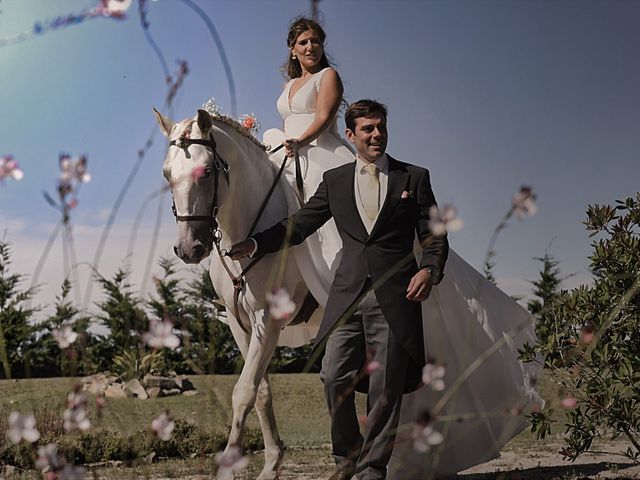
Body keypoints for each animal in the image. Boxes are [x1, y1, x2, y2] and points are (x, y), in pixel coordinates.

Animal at [155, 109, 316, 480]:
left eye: (207, 171)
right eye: (167, 174)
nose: (188, 249)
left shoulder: (268, 320)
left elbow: (243, 392)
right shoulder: (238, 322)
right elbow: (260, 390)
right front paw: (272, 463)